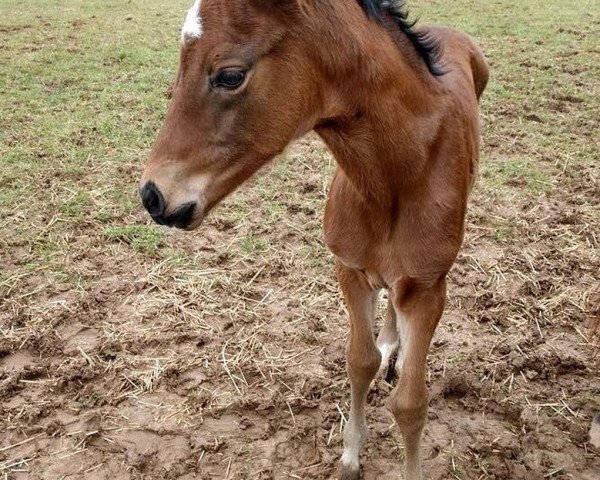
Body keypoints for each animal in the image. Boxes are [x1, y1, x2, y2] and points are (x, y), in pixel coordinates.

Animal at [139, 1, 488, 478]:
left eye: (229, 75)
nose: (152, 196)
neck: (392, 178)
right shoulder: (350, 269)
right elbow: (360, 361)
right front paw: (351, 455)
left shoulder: (428, 288)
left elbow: (411, 404)